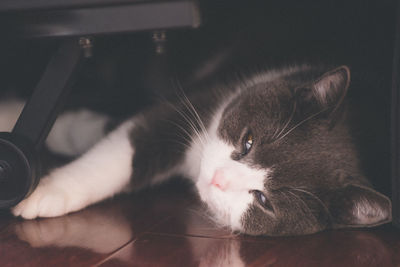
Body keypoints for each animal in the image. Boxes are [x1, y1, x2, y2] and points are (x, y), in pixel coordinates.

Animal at [3, 64, 390, 237]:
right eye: (248, 141)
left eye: (263, 200)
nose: (217, 178)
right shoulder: (201, 102)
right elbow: (127, 144)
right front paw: (45, 187)